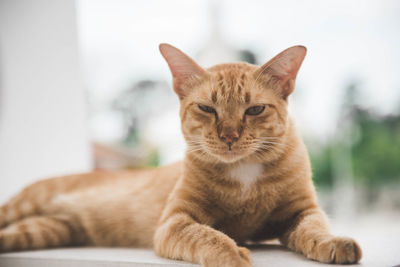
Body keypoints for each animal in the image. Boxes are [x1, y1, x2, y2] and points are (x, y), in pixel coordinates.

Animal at [0, 43, 362, 266]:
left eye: (255, 109)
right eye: (207, 108)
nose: (229, 136)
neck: (244, 173)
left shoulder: (301, 212)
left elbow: (315, 229)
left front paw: (334, 242)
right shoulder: (174, 221)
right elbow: (207, 236)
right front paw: (232, 254)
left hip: (45, 229)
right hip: (23, 207)